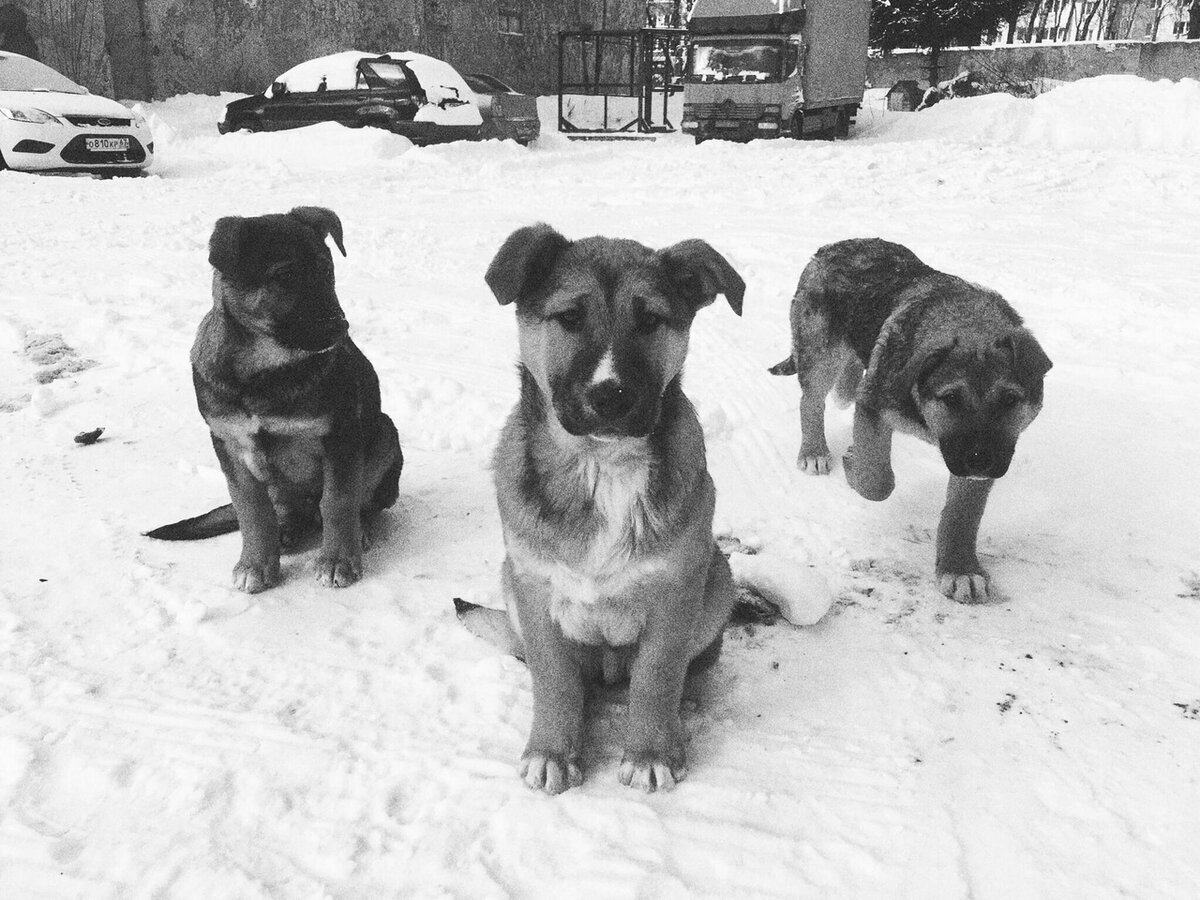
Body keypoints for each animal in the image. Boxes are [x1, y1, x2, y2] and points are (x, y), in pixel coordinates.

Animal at [148, 207, 403, 595]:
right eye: (285, 276)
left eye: (326, 271)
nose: (341, 328)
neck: (264, 370)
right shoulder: (231, 444)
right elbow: (251, 509)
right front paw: (255, 564)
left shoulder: (341, 434)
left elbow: (338, 500)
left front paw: (338, 560)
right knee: (282, 510)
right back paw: (285, 531)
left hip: (385, 432)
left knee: (360, 503)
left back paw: (360, 531)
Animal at [465, 225, 739, 796]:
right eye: (570, 317)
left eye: (651, 319)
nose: (611, 396)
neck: (601, 466)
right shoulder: (533, 586)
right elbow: (554, 680)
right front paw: (551, 751)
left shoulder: (676, 590)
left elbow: (657, 676)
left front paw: (651, 752)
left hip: (718, 574)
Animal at [772, 240, 1046, 607]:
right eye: (951, 398)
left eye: (1010, 400)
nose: (981, 461)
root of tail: (828, 248)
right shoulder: (875, 403)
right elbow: (877, 483)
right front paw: (853, 464)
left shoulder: (986, 453)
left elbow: (963, 514)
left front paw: (959, 569)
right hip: (820, 349)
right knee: (811, 401)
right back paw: (814, 450)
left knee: (847, 379)